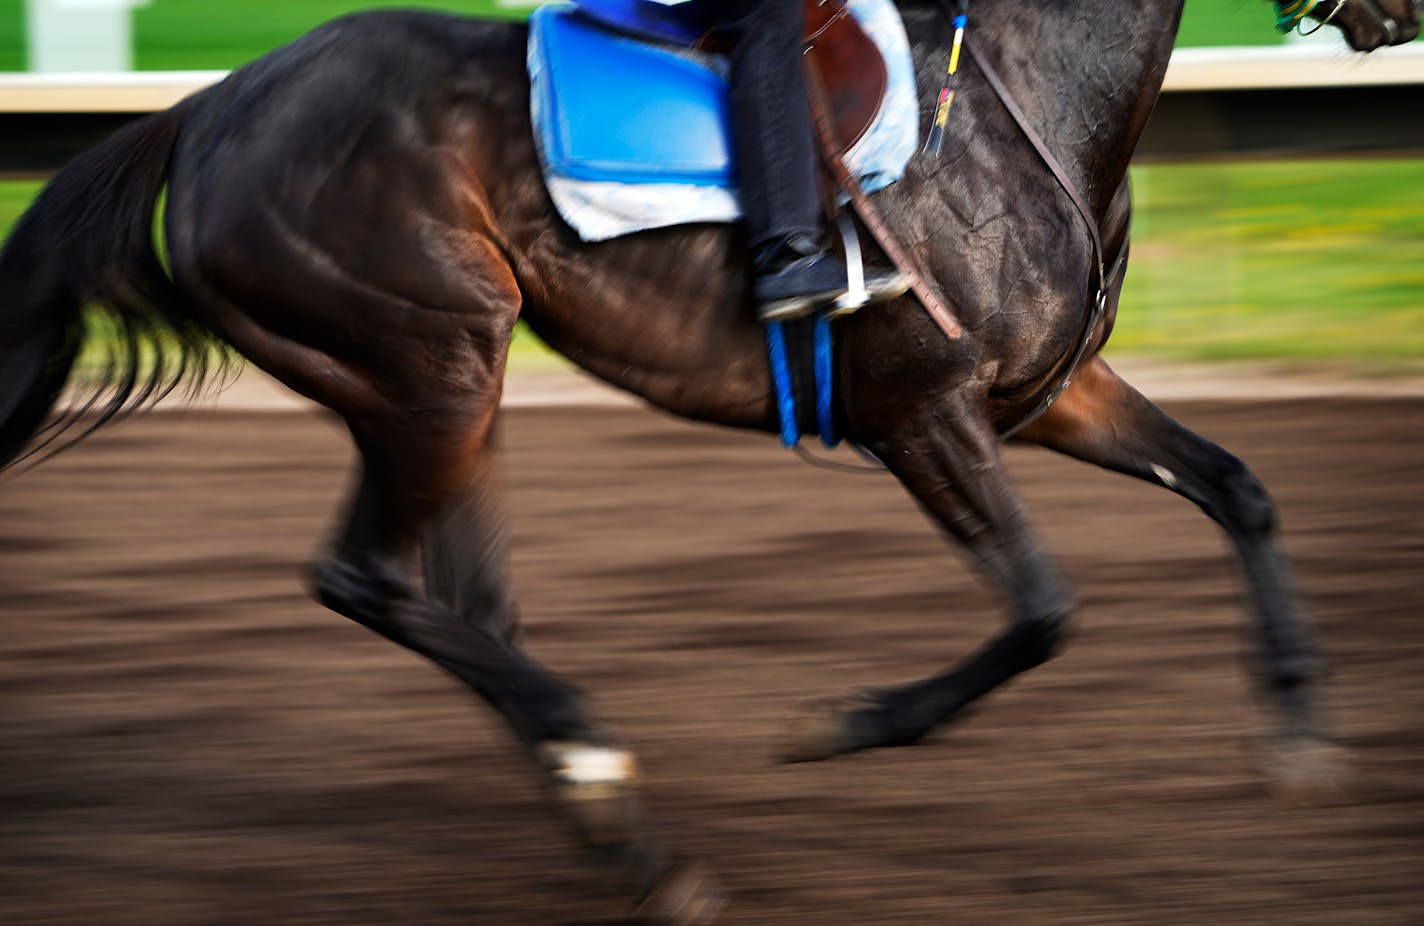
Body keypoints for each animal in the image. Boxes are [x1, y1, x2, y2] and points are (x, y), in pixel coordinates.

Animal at [0, 1, 1418, 917]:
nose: (1392, 11)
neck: (1015, 98)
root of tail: (203, 110)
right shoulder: (919, 410)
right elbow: (1041, 609)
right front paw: (848, 722)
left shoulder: (1046, 393)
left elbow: (1235, 484)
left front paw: (1298, 731)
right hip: (428, 359)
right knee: (361, 574)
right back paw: (597, 766)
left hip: (449, 378)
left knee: (465, 600)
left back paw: (621, 833)